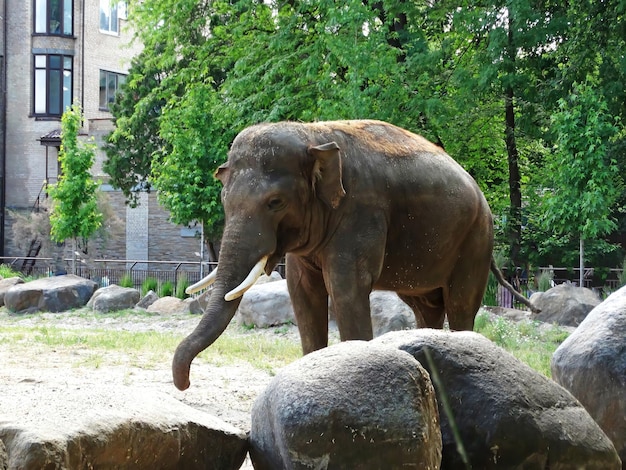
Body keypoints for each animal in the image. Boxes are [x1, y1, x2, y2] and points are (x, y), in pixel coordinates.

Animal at [173, 119, 500, 392]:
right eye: (223, 200)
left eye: (275, 202)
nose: (186, 384)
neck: (313, 135)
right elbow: (302, 293)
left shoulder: (361, 211)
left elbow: (346, 290)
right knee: (426, 305)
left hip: (477, 239)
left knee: (460, 304)